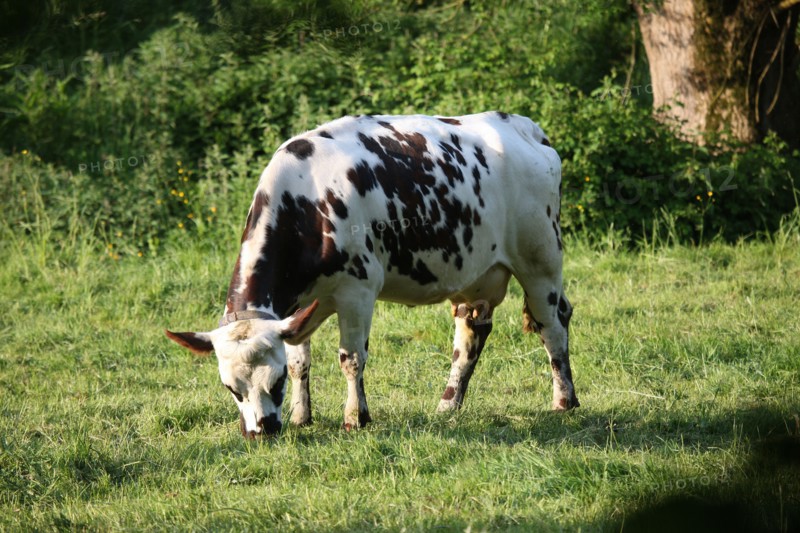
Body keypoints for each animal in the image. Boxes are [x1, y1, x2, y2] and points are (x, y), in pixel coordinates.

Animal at [165, 111, 579, 438]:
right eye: (231, 388)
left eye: (275, 381)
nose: (260, 431)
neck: (306, 202)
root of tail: (520, 125)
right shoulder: (297, 305)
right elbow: (301, 359)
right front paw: (302, 416)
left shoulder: (358, 291)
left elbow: (351, 358)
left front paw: (355, 418)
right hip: (476, 273)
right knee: (470, 334)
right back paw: (448, 405)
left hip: (540, 259)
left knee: (553, 322)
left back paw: (565, 400)